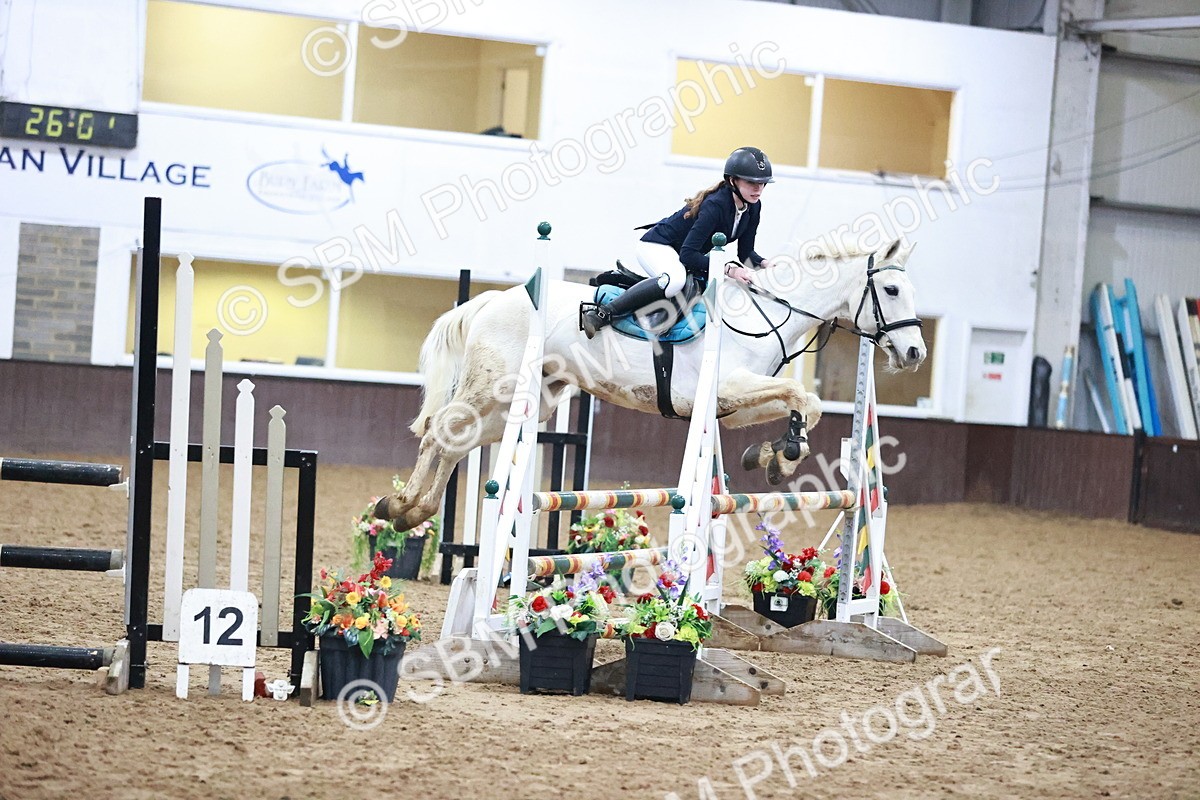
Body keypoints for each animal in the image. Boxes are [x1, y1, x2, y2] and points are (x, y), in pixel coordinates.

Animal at [374, 236, 926, 530]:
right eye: (891, 289)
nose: (916, 353)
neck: (764, 312)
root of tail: (493, 299)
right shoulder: (725, 388)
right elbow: (801, 396)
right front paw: (783, 454)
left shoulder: (735, 405)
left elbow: (804, 401)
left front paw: (775, 455)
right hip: (490, 389)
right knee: (441, 431)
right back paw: (400, 505)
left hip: (528, 401)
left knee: (458, 442)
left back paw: (411, 512)